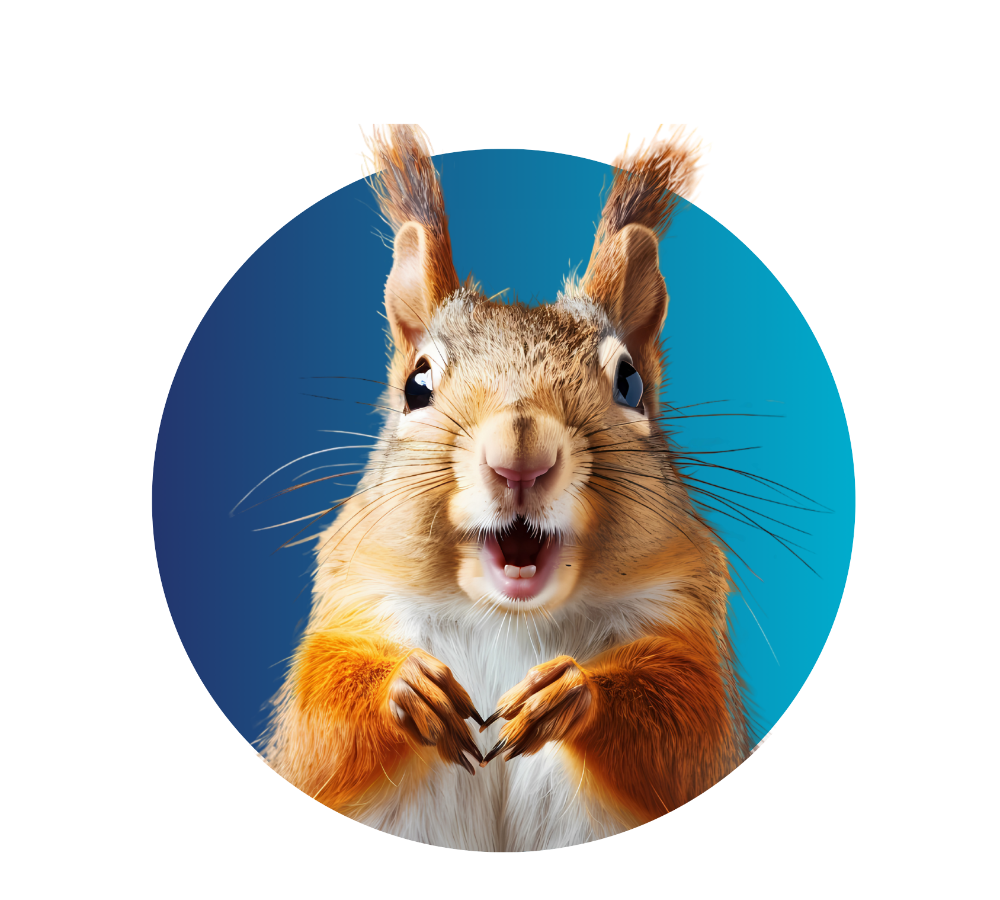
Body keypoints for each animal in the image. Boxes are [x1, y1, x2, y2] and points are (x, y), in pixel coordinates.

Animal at [260, 123, 751, 852]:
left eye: (630, 382)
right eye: (416, 385)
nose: (521, 451)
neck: (507, 618)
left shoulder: (683, 616)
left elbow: (685, 719)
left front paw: (571, 692)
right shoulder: (358, 599)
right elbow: (322, 719)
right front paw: (407, 687)